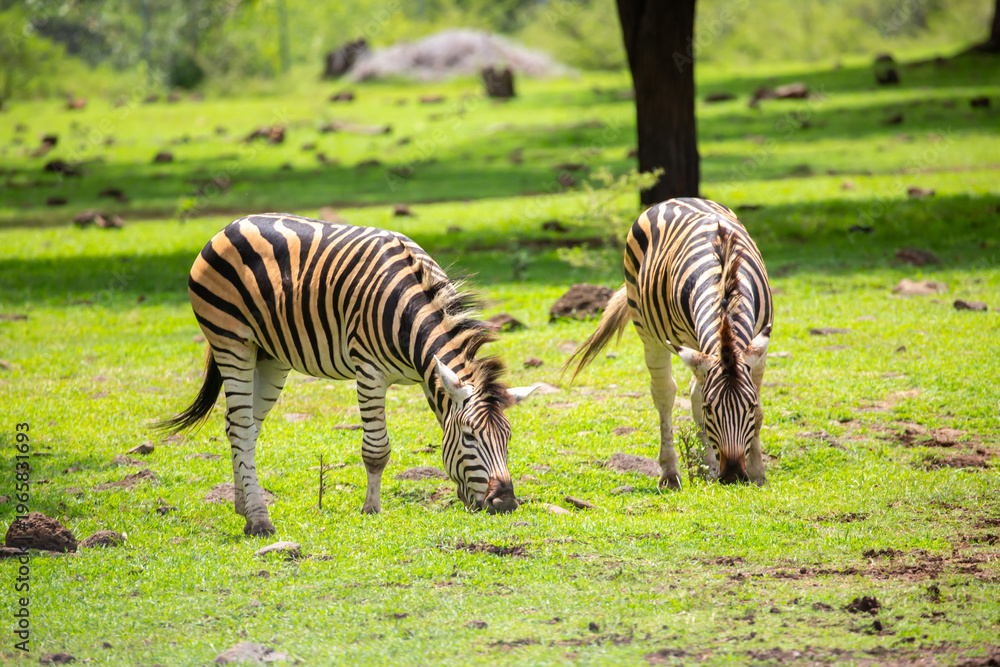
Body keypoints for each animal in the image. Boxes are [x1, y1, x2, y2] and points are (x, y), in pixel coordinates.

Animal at [156, 213, 535, 536]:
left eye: (508, 437)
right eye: (470, 436)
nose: (505, 503)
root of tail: (232, 224)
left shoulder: (432, 380)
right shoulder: (369, 371)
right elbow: (377, 450)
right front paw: (371, 509)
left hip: (270, 355)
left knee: (244, 427)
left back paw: (244, 508)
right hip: (231, 341)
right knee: (241, 426)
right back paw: (260, 521)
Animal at [567, 198, 773, 488]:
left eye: (750, 406)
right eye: (711, 409)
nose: (732, 475)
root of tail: (676, 199)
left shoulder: (757, 346)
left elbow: (758, 409)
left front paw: (756, 471)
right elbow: (694, 398)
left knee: (693, 388)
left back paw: (706, 465)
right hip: (648, 331)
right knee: (665, 393)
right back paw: (671, 472)